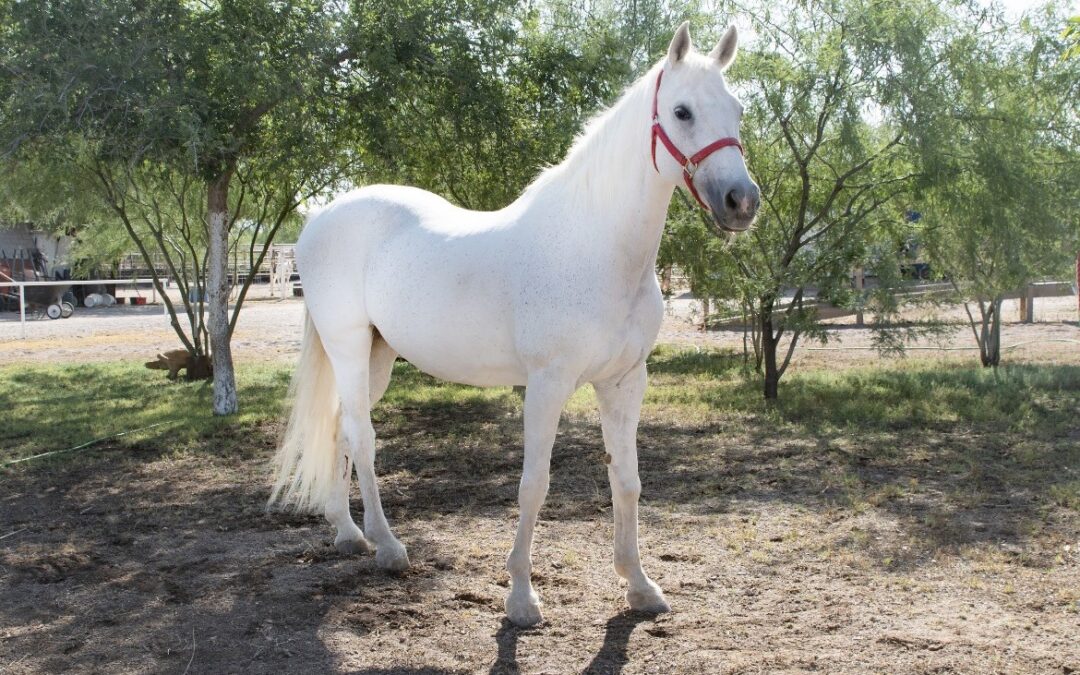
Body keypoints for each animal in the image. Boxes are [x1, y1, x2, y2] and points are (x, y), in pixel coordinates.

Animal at [270, 22, 760, 626]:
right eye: (682, 111)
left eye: (737, 110)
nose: (742, 201)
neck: (594, 248)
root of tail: (320, 218)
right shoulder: (547, 385)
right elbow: (534, 485)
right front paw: (522, 597)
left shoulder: (625, 381)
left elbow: (626, 480)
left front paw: (640, 586)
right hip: (347, 346)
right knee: (362, 436)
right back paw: (388, 547)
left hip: (377, 355)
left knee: (340, 428)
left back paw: (347, 533)